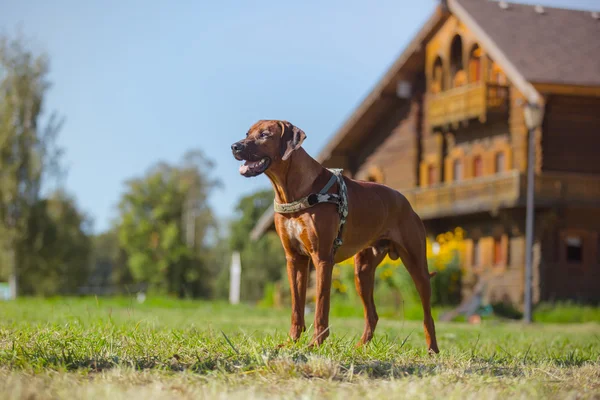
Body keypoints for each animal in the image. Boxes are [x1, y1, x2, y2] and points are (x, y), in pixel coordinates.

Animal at [232, 119, 438, 354]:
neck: (293, 191)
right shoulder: (294, 259)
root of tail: (406, 202)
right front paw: (291, 342)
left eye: (265, 135)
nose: (234, 147)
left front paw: (315, 344)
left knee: (427, 315)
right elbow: (296, 307)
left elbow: (321, 306)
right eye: (247, 133)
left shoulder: (322, 258)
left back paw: (432, 350)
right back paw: (360, 347)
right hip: (362, 272)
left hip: (417, 266)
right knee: (373, 314)